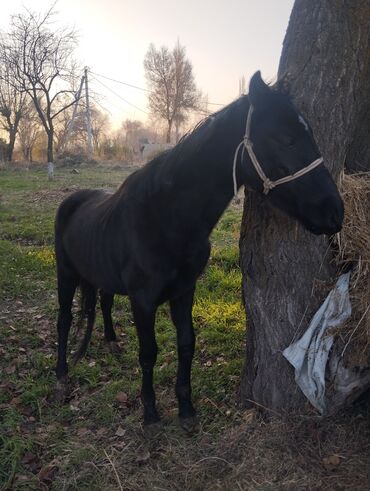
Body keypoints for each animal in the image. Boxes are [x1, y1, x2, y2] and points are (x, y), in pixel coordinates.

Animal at [55, 72, 344, 430]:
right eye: (286, 138)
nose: (335, 212)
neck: (164, 219)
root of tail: (73, 199)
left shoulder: (184, 291)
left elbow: (186, 343)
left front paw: (186, 408)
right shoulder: (143, 300)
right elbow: (148, 352)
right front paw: (150, 413)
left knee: (104, 303)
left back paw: (110, 343)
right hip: (65, 275)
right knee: (64, 319)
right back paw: (61, 373)